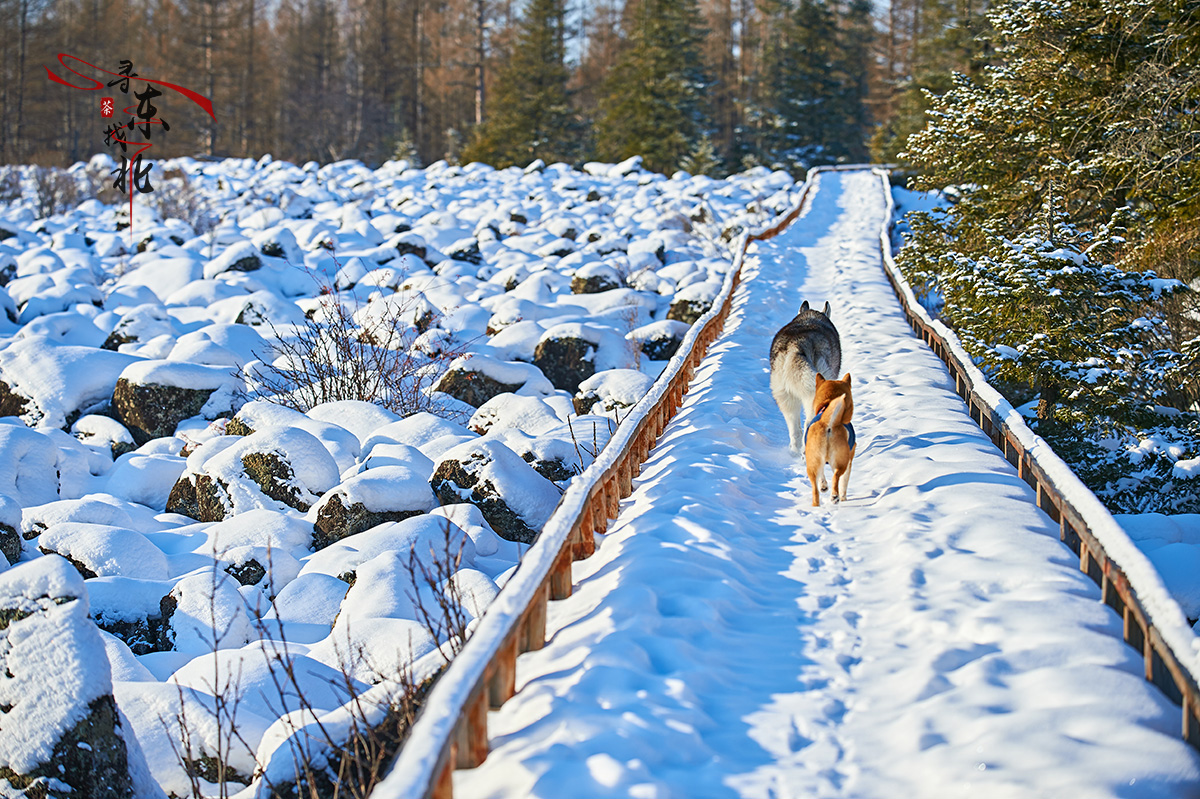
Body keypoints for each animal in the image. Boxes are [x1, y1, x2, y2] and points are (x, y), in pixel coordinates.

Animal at [806, 371, 854, 503]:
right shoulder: (849, 459)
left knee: (815, 489)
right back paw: (835, 497)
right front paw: (843, 497)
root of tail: (828, 424)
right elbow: (844, 482)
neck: (827, 404)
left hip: (812, 461)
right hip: (842, 460)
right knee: (836, 477)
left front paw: (823, 486)